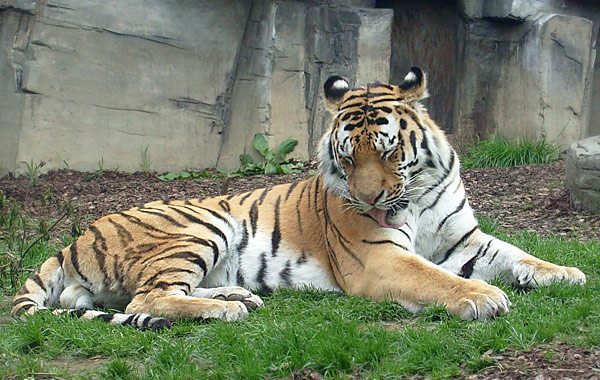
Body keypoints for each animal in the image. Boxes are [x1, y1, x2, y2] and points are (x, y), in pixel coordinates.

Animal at [10, 68, 584, 330]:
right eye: (348, 159)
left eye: (388, 151)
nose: (369, 199)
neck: (415, 192)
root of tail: (73, 239)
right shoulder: (378, 257)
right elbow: (433, 278)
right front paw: (483, 297)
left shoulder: (464, 238)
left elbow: (517, 254)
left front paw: (566, 273)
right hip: (199, 227)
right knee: (146, 299)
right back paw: (228, 311)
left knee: (138, 297)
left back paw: (237, 297)